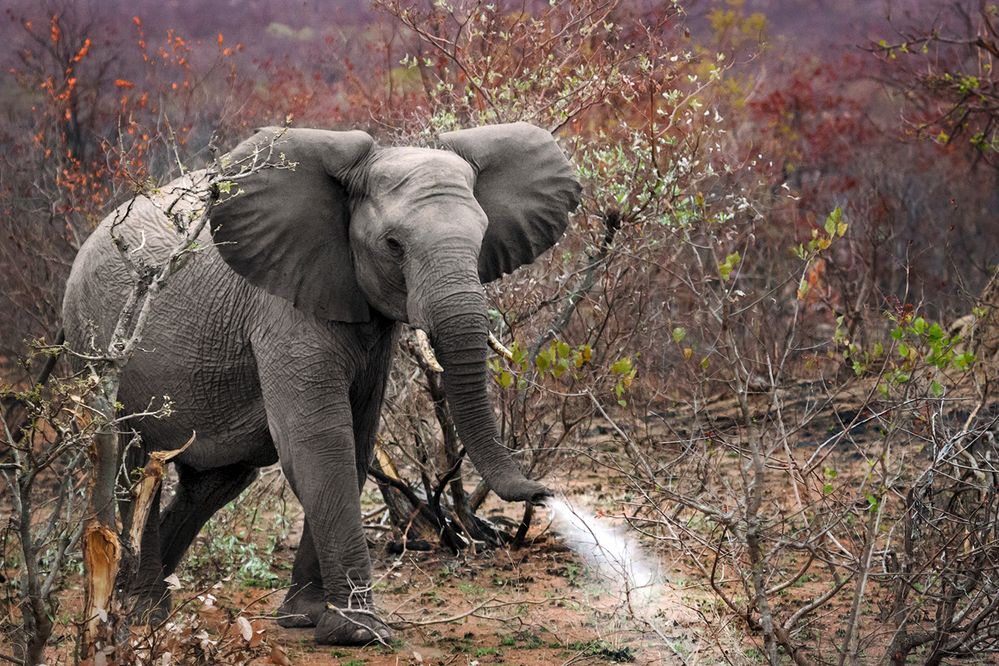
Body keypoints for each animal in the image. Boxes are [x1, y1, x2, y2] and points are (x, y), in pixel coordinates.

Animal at [60, 122, 580, 640]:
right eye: (394, 246)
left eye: (483, 236)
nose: (544, 495)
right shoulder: (283, 309)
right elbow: (318, 444)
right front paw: (359, 632)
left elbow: (356, 442)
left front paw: (306, 618)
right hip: (96, 340)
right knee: (131, 462)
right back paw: (142, 614)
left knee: (216, 481)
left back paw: (146, 602)